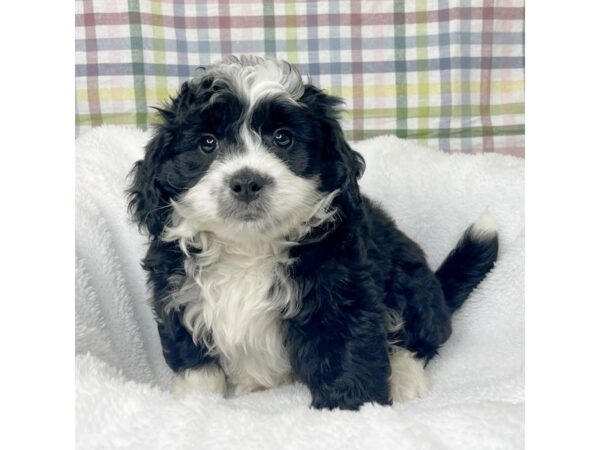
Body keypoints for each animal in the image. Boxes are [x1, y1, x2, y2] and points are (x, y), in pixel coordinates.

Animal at [129, 54, 500, 410]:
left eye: (283, 138)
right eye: (207, 143)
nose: (247, 181)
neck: (250, 247)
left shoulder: (341, 294)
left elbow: (347, 359)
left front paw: (353, 411)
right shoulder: (178, 295)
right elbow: (196, 364)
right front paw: (196, 402)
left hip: (412, 284)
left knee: (420, 338)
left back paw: (406, 377)